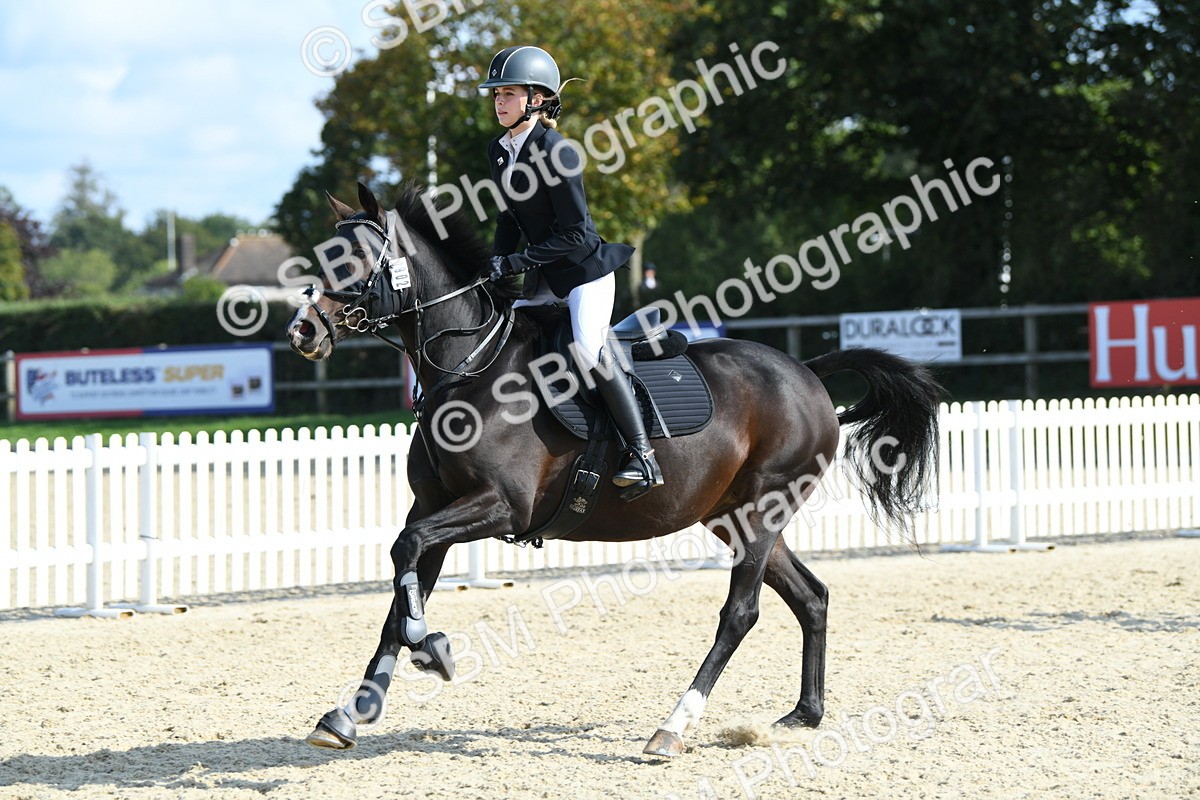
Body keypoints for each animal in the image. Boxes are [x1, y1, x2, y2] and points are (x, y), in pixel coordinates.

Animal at [285, 181, 942, 757]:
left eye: (354, 258)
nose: (302, 331)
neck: (471, 365)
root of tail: (805, 371)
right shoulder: (434, 506)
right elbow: (403, 581)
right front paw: (352, 711)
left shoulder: (500, 506)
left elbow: (407, 557)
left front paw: (432, 650)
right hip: (735, 516)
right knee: (811, 596)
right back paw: (804, 714)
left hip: (762, 509)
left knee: (741, 613)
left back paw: (672, 728)